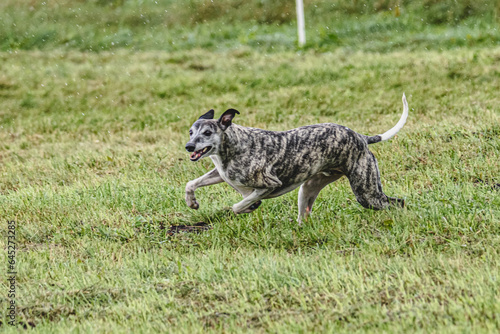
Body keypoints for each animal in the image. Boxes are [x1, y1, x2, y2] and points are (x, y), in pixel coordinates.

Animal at [186, 92, 408, 223]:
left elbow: (238, 205)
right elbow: (191, 183)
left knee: (398, 203)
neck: (233, 143)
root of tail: (361, 137)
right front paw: (192, 202)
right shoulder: (221, 174)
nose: (189, 146)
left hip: (367, 194)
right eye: (190, 132)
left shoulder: (269, 185)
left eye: (207, 133)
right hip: (308, 189)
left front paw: (248, 207)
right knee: (305, 215)